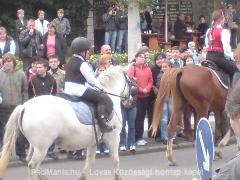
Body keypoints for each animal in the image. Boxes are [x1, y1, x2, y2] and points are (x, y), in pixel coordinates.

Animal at [0, 66, 131, 180]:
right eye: (130, 81)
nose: (130, 101)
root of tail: (25, 106)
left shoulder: (93, 142)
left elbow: (89, 161)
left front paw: (82, 177)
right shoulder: (113, 137)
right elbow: (115, 159)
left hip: (35, 145)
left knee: (29, 162)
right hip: (42, 146)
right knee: (32, 165)